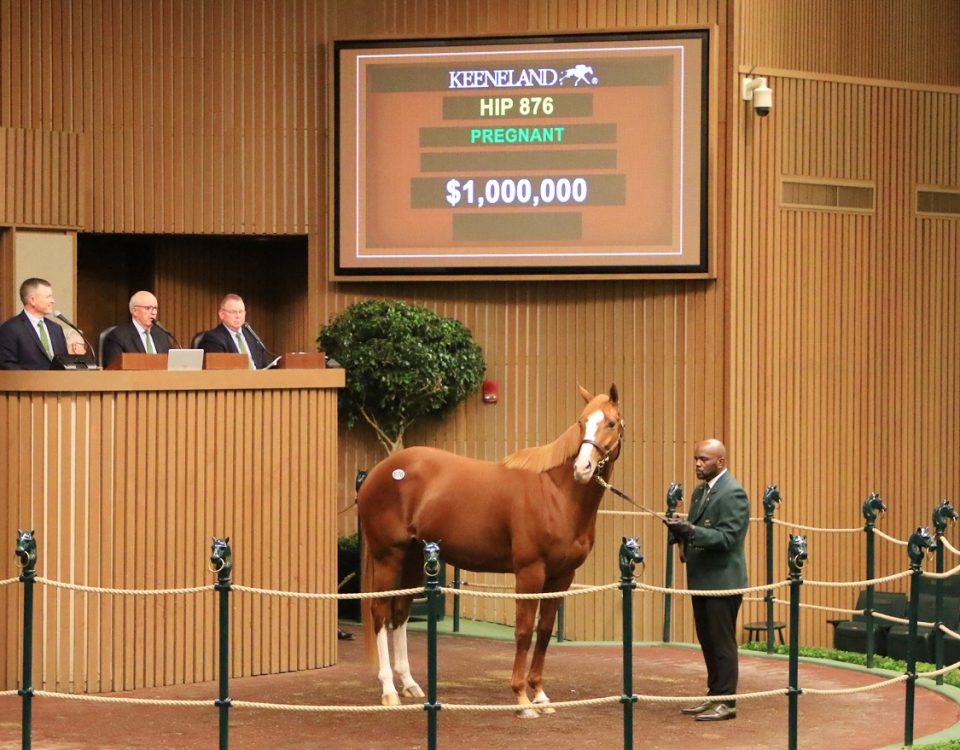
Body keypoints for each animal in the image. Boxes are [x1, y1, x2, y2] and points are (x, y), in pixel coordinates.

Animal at [358, 388, 624, 716]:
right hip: (388, 557)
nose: (582, 468)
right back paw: (389, 690)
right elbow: (524, 631)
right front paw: (522, 698)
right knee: (380, 613)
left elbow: (544, 631)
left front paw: (540, 695)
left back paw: (409, 684)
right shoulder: (530, 572)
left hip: (412, 558)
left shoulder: (562, 576)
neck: (556, 493)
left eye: (611, 423)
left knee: (399, 614)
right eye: (581, 422)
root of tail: (375, 474)